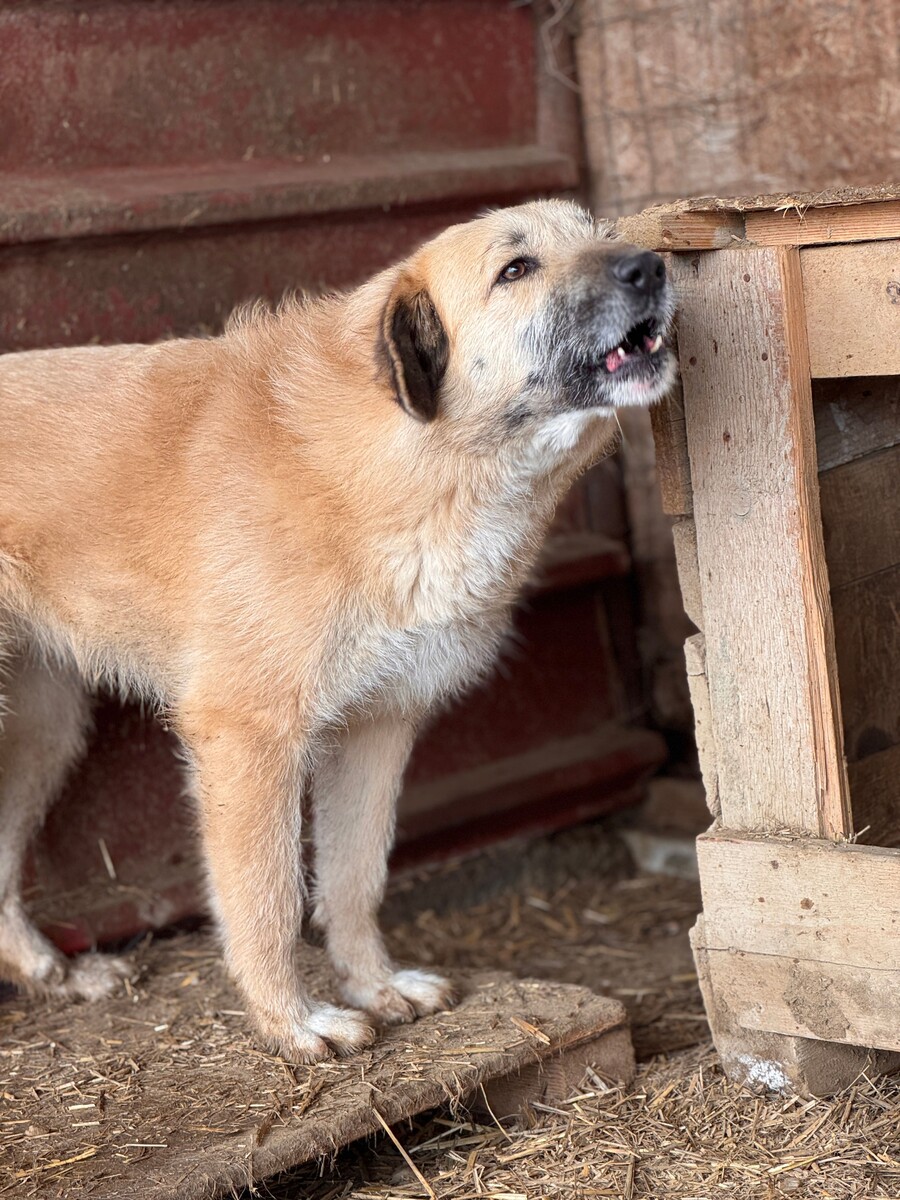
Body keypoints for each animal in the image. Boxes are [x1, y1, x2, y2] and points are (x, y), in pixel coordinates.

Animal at [0, 200, 675, 1062]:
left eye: (599, 233)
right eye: (515, 269)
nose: (651, 266)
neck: (410, 457)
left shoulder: (376, 727)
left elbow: (355, 880)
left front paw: (376, 986)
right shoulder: (248, 738)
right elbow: (270, 900)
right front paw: (293, 1023)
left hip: (42, 732)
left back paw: (51, 972)